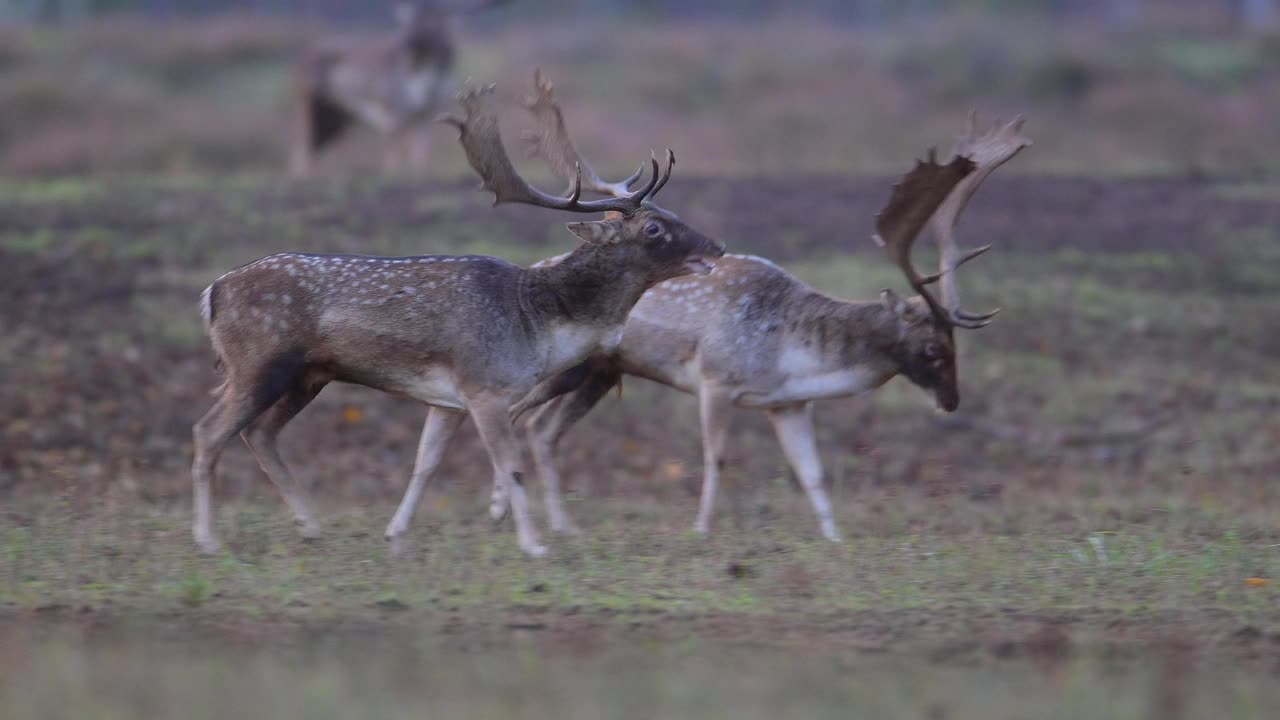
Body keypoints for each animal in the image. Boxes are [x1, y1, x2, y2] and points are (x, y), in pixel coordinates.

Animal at [194, 78, 727, 556]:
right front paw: (533, 545)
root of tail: (212, 293)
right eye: (655, 228)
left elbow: (425, 463)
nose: (718, 246)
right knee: (209, 431)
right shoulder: (484, 387)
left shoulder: (447, 400)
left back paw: (310, 526)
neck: (539, 328)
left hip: (309, 375)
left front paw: (396, 535)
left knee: (259, 433)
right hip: (259, 362)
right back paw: (209, 541)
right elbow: (510, 463)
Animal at [290, 0, 509, 176]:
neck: (427, 79)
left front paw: (418, 171)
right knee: (301, 148)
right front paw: (393, 173)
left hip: (337, 115)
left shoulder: (428, 112)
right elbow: (393, 156)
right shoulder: (392, 110)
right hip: (306, 100)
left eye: (434, 18)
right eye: (411, 18)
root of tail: (302, 57)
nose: (408, 40)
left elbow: (420, 154)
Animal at [483, 77, 1034, 538]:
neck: (792, 355)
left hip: (597, 373)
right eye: (934, 349)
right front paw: (702, 528)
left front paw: (835, 538)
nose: (952, 401)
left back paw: (548, 521)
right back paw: (510, 510)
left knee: (539, 429)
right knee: (518, 416)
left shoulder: (788, 404)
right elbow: (716, 458)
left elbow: (812, 472)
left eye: (956, 345)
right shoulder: (715, 378)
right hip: (566, 368)